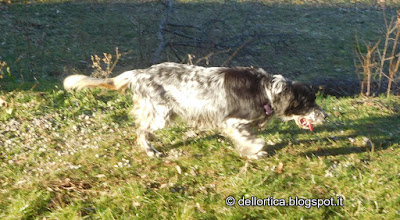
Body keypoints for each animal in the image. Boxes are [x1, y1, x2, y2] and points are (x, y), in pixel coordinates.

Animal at [64, 62, 328, 159]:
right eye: (310, 103)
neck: (267, 91)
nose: (326, 115)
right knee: (141, 130)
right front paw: (256, 151)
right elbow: (253, 140)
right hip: (161, 115)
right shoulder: (231, 122)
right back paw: (150, 151)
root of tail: (139, 73)